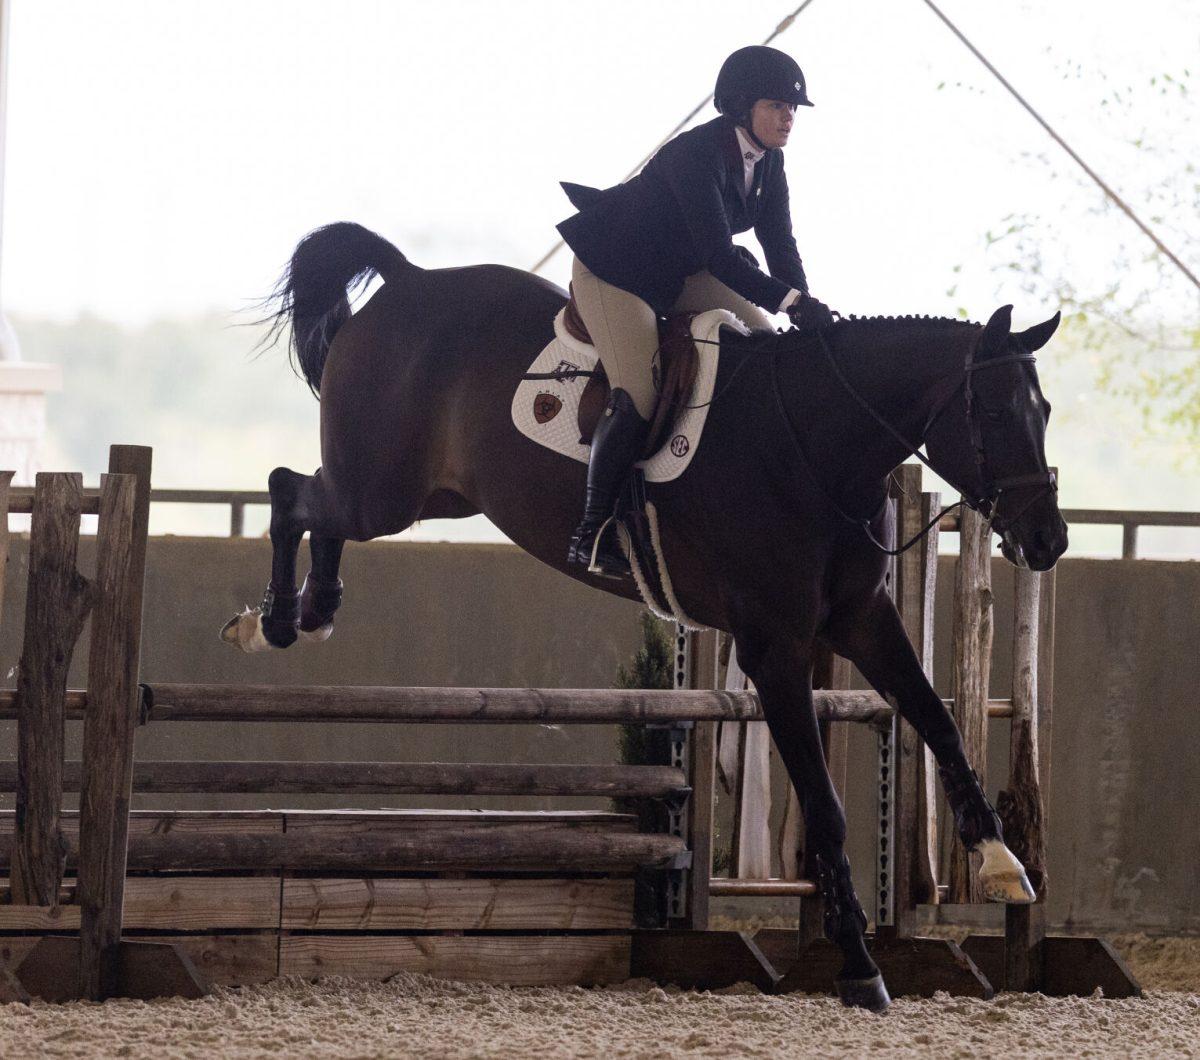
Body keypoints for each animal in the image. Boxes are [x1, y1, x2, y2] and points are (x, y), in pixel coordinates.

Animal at [225, 222, 1070, 1013]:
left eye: (1046, 411)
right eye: (996, 412)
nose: (1048, 541)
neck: (815, 445)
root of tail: (409, 280)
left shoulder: (862, 619)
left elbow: (938, 720)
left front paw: (1001, 864)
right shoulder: (775, 649)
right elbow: (826, 807)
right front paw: (861, 967)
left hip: (435, 496)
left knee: (316, 507)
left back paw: (312, 610)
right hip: (385, 492)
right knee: (292, 492)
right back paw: (271, 622)